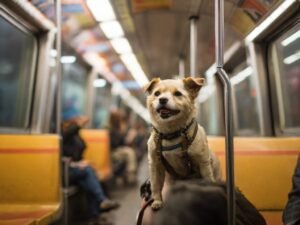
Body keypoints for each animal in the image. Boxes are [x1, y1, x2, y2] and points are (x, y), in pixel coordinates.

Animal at [144, 76, 219, 210]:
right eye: (156, 94)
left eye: (178, 94)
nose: (162, 99)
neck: (171, 133)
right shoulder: (155, 165)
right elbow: (155, 185)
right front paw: (157, 201)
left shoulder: (203, 162)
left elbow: (208, 178)